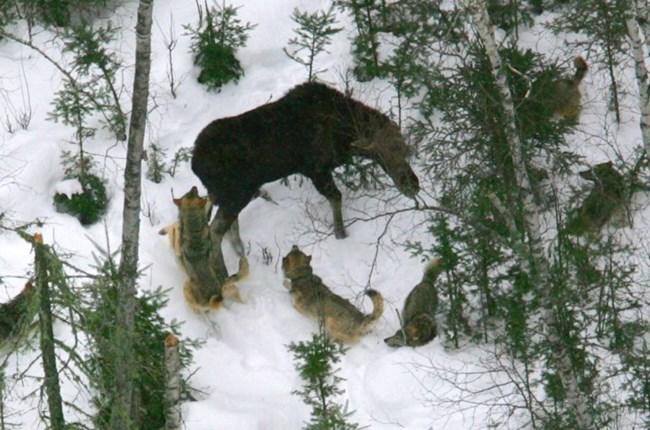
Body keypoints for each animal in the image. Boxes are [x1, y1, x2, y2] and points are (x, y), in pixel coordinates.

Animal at [190, 81, 418, 272]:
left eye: (405, 149)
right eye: (382, 152)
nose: (413, 184)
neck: (344, 136)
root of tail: (195, 164)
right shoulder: (316, 169)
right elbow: (336, 197)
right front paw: (340, 234)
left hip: (225, 194)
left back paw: (238, 251)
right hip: (237, 193)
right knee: (214, 231)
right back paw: (221, 270)